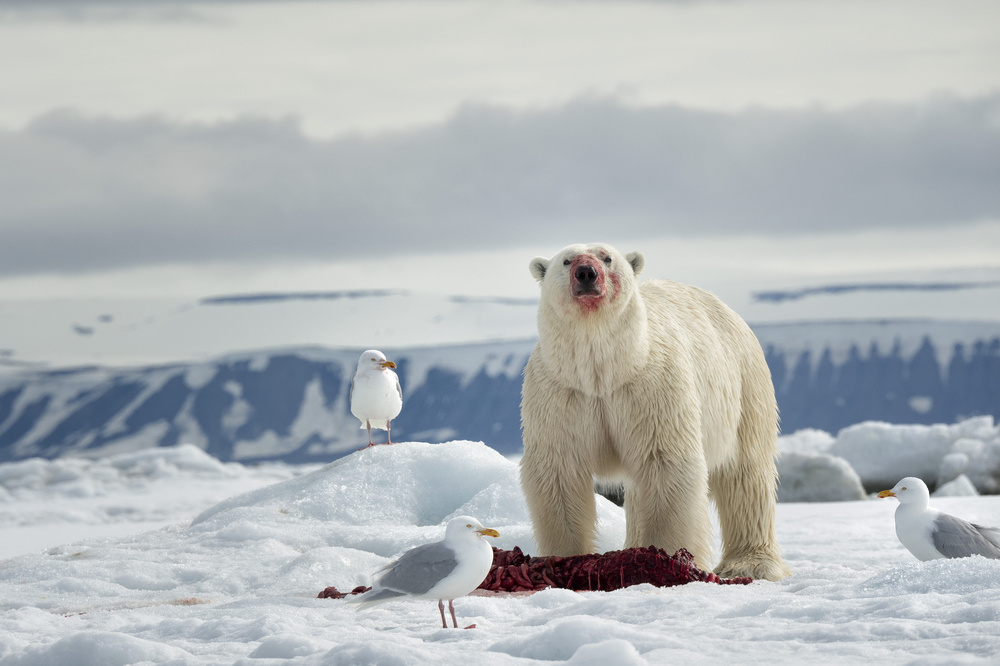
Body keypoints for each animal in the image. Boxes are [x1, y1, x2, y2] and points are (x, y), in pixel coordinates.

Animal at [524, 241, 788, 580]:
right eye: (567, 261)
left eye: (607, 257)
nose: (586, 273)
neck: (604, 371)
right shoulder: (561, 393)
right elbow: (559, 470)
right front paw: (564, 559)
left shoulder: (652, 385)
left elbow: (664, 463)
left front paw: (663, 559)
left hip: (744, 386)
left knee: (746, 473)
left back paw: (750, 563)